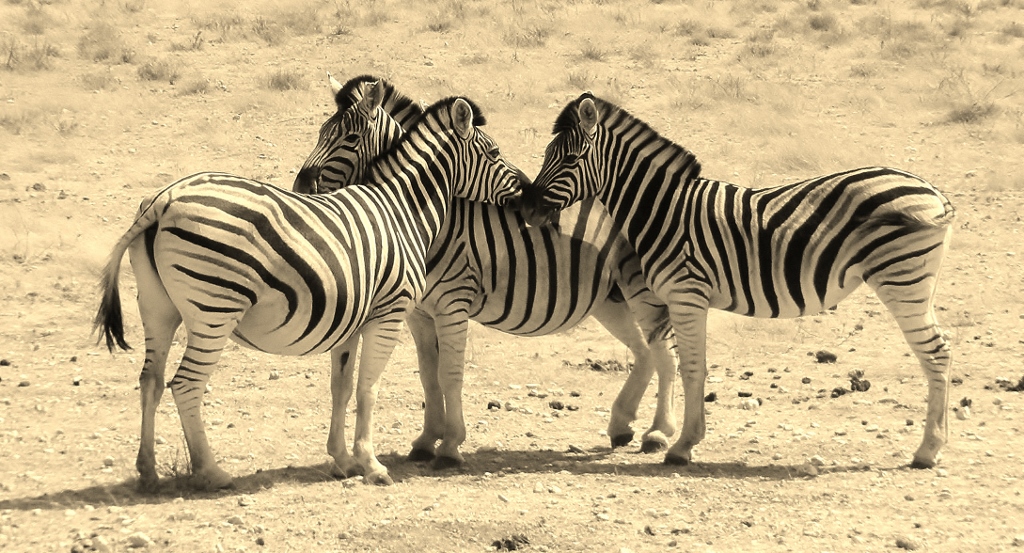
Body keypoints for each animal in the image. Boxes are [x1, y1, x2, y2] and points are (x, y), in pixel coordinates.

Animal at [92, 85, 524, 487]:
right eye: (494, 152)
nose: (523, 189)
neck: (402, 209)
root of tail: (164, 199)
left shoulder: (351, 320)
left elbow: (342, 386)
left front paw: (343, 460)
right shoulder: (390, 312)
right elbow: (369, 388)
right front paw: (371, 464)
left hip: (157, 307)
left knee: (151, 381)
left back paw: (148, 472)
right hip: (215, 308)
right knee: (185, 385)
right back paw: (211, 472)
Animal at [296, 75, 679, 469]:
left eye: (349, 139)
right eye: (321, 132)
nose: (300, 187)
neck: (435, 217)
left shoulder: (453, 303)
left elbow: (449, 374)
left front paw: (450, 445)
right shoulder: (419, 312)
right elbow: (428, 374)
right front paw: (426, 440)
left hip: (640, 286)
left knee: (666, 353)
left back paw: (659, 433)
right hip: (609, 297)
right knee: (645, 351)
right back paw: (622, 425)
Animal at [524, 92, 954, 469]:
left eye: (571, 158)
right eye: (547, 154)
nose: (527, 208)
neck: (663, 211)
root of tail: (933, 192)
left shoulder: (687, 294)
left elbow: (692, 366)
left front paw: (683, 446)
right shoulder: (679, 298)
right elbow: (680, 360)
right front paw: (678, 436)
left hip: (902, 279)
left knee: (936, 352)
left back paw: (927, 451)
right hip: (913, 281)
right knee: (939, 351)